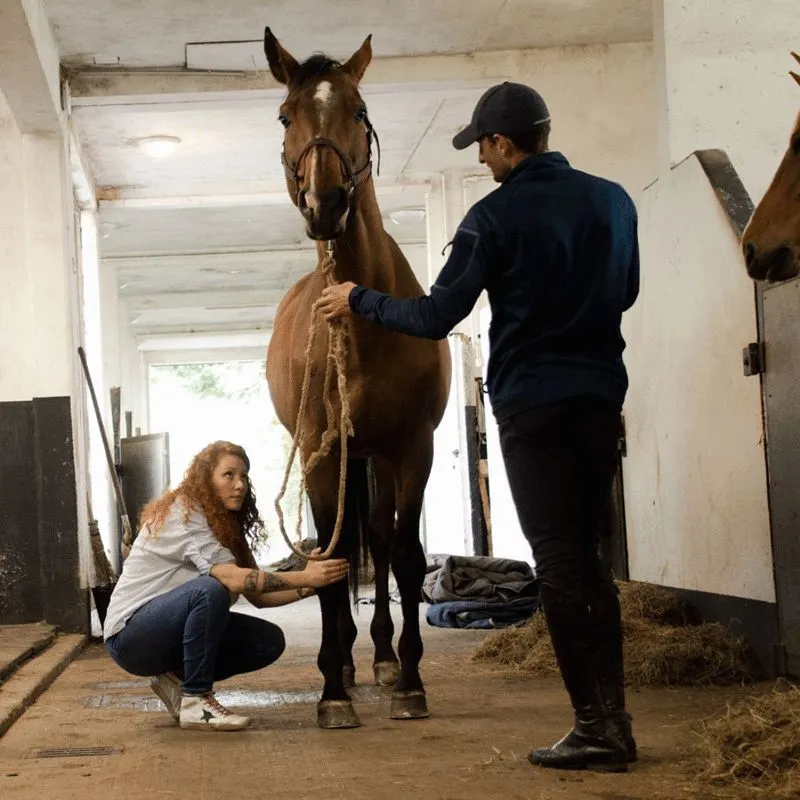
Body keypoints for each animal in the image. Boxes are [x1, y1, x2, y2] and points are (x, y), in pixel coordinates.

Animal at [262, 28, 450, 728]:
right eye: (285, 115)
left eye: (360, 110)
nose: (327, 204)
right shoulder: (323, 456)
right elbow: (334, 556)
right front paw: (331, 692)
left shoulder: (412, 449)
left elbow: (407, 556)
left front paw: (410, 681)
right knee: (339, 548)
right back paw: (342, 661)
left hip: (376, 458)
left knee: (383, 541)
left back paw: (382, 658)